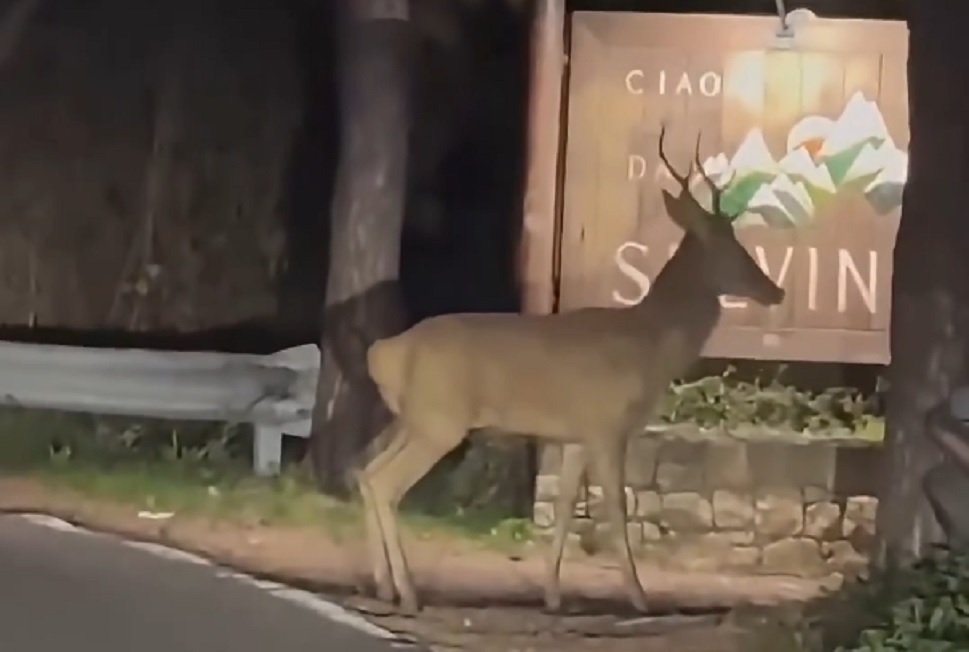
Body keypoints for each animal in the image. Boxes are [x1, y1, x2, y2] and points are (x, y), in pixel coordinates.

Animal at [355, 125, 786, 615]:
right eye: (726, 243)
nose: (775, 290)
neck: (651, 342)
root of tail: (385, 351)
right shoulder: (607, 426)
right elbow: (616, 508)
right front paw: (640, 598)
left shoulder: (576, 436)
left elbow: (562, 508)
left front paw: (553, 596)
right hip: (440, 421)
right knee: (384, 483)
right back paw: (408, 593)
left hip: (413, 419)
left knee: (366, 471)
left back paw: (383, 586)